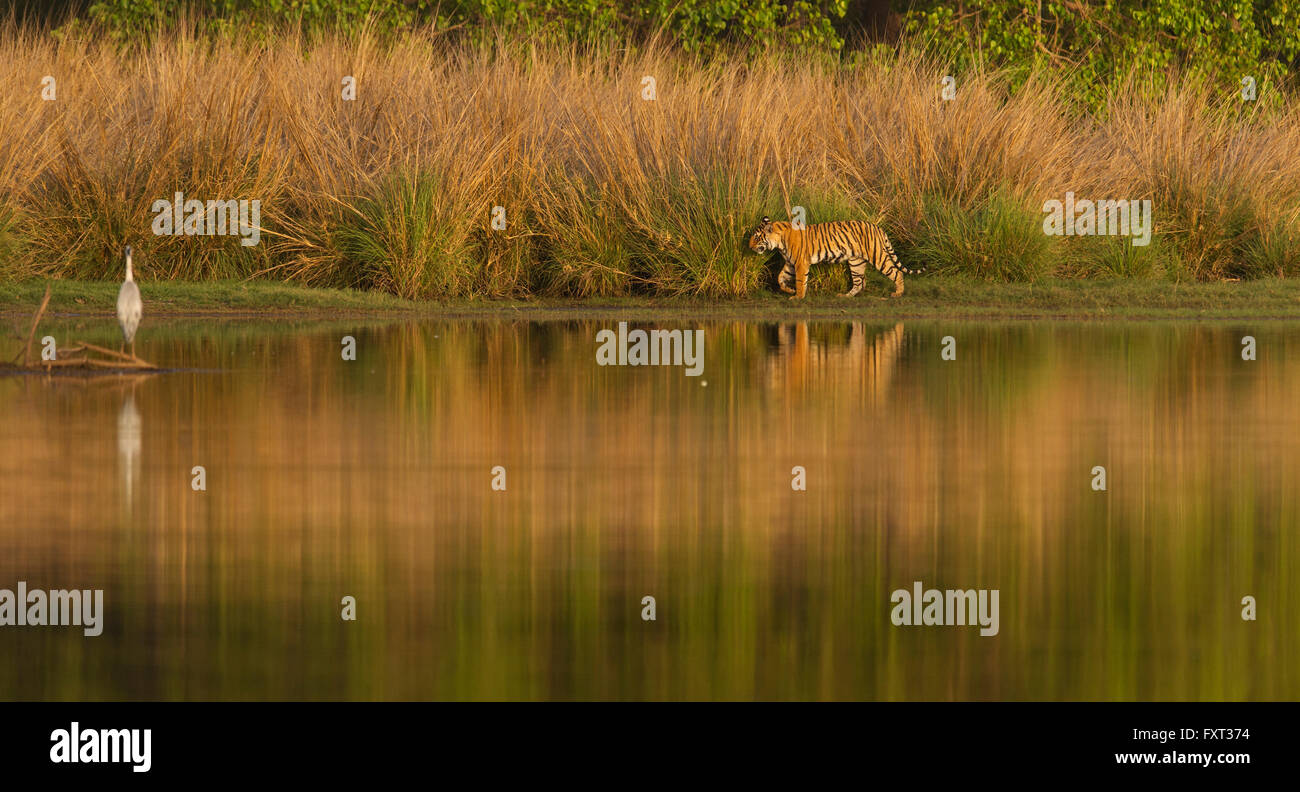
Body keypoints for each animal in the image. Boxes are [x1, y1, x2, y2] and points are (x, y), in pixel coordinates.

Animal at [748, 214, 920, 297]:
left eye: (756, 237)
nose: (749, 246)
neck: (780, 243)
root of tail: (878, 227)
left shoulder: (800, 263)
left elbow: (800, 281)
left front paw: (798, 296)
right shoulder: (790, 263)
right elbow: (780, 278)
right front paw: (789, 291)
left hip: (878, 256)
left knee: (896, 272)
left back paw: (898, 293)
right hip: (856, 261)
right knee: (858, 282)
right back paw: (846, 296)